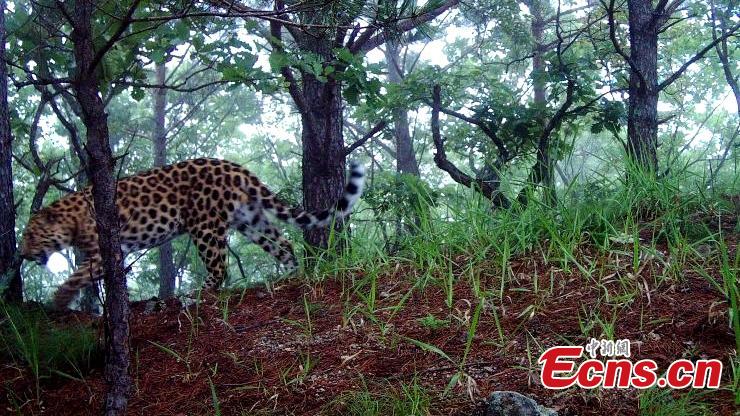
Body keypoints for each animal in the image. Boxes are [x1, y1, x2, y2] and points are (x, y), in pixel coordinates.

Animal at [19, 158, 365, 309]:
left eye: (31, 236)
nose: (21, 254)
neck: (71, 218)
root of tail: (235, 167)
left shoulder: (105, 252)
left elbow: (78, 276)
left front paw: (59, 299)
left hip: (205, 226)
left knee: (220, 267)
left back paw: (194, 296)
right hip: (250, 220)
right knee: (283, 244)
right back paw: (292, 277)